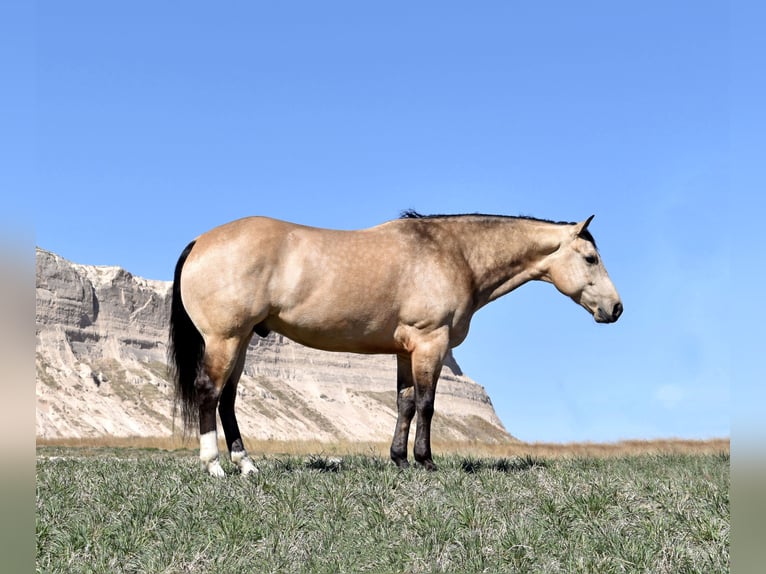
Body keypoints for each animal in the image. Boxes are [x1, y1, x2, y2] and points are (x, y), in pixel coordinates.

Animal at [170, 212, 624, 476]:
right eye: (590, 258)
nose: (616, 308)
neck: (453, 252)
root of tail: (200, 242)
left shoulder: (406, 350)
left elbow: (404, 403)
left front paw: (399, 459)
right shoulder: (429, 342)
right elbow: (427, 403)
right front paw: (425, 461)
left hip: (243, 339)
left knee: (228, 399)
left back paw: (247, 465)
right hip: (226, 338)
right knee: (209, 392)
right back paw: (215, 466)